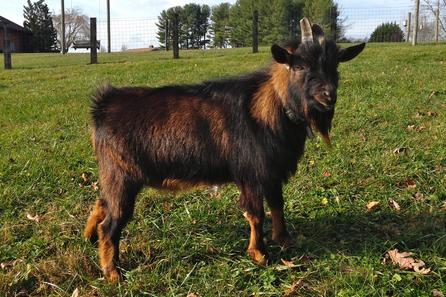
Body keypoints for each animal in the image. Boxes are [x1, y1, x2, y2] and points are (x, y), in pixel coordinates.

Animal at [84, 17, 366, 280]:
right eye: (299, 66)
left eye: (335, 65)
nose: (328, 96)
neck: (270, 109)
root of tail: (104, 105)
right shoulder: (251, 174)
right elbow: (256, 214)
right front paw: (259, 254)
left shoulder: (271, 172)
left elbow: (277, 205)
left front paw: (284, 238)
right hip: (122, 177)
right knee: (111, 223)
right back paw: (112, 272)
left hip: (114, 177)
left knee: (101, 203)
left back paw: (90, 237)